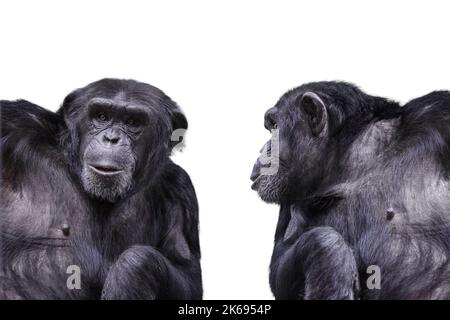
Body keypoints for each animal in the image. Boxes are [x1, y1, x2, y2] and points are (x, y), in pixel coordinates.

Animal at [0, 79, 200, 298]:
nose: (111, 138)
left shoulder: (179, 189)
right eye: (101, 116)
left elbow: (188, 274)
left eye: (132, 122)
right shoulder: (18, 124)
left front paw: (131, 270)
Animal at [251, 82, 448, 300]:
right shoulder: (289, 197)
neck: (352, 161)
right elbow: (281, 264)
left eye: (275, 126)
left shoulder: (436, 112)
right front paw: (331, 255)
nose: (263, 149)